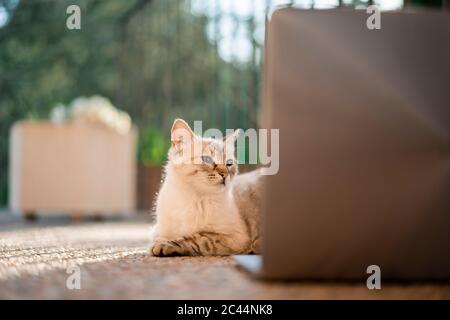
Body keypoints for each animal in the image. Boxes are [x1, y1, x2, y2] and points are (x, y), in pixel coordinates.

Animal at [149, 119, 262, 256]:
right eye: (207, 159)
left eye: (229, 163)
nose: (225, 174)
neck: (195, 198)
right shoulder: (159, 230)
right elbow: (159, 238)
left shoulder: (234, 237)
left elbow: (195, 239)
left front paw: (164, 246)